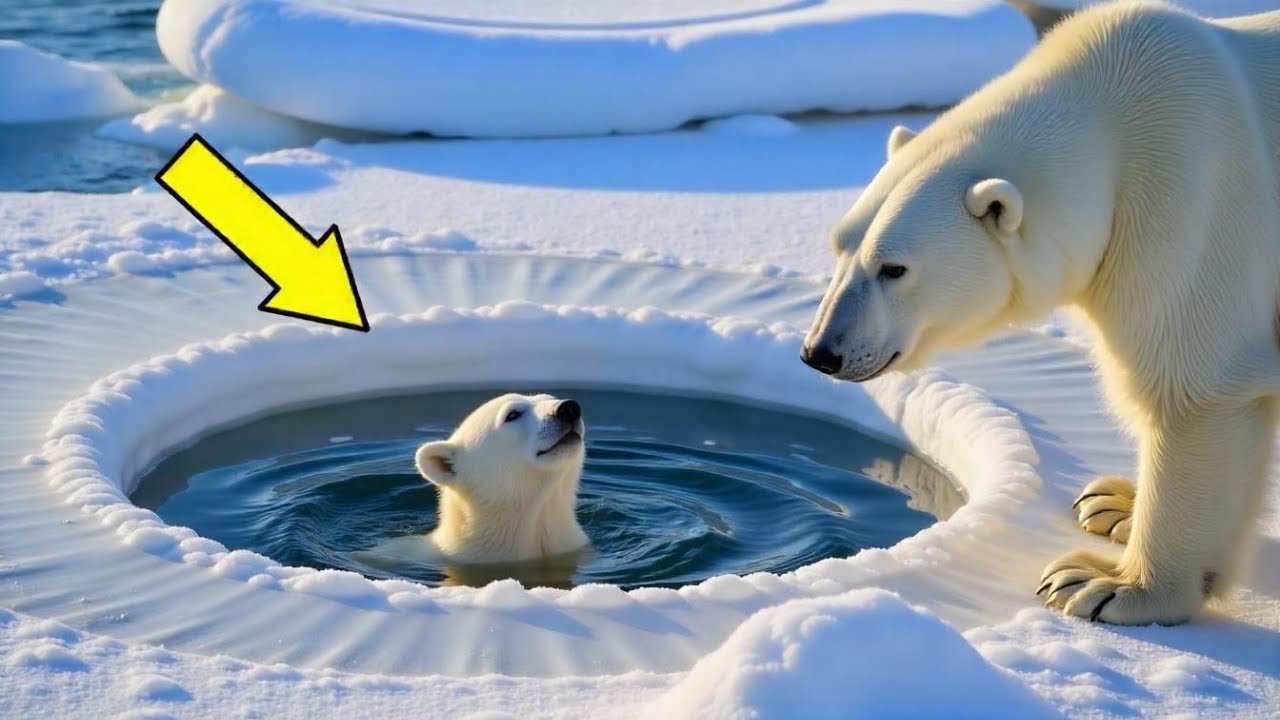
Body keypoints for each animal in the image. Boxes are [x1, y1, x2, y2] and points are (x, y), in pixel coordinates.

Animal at [801, 1, 1280, 625]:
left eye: (894, 268)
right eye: (840, 247)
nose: (820, 352)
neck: (1117, 125)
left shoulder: (1197, 202)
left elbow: (1195, 387)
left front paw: (1106, 584)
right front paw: (1114, 503)